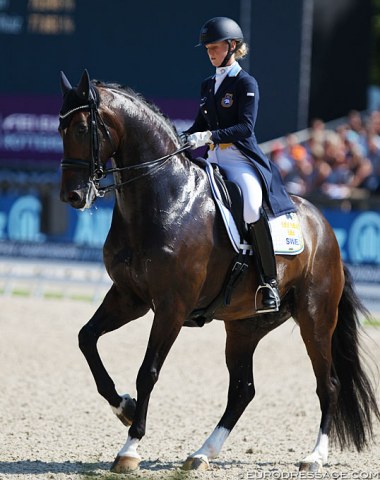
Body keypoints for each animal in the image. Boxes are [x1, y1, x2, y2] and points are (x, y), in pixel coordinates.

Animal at [58, 70, 380, 472]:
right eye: (60, 129)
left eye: (83, 128)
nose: (72, 196)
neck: (165, 200)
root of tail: (324, 228)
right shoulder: (129, 298)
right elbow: (86, 339)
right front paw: (125, 408)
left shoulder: (171, 307)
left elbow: (148, 372)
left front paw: (130, 448)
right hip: (245, 326)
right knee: (243, 390)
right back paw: (201, 453)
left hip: (315, 318)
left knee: (328, 384)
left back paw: (314, 456)